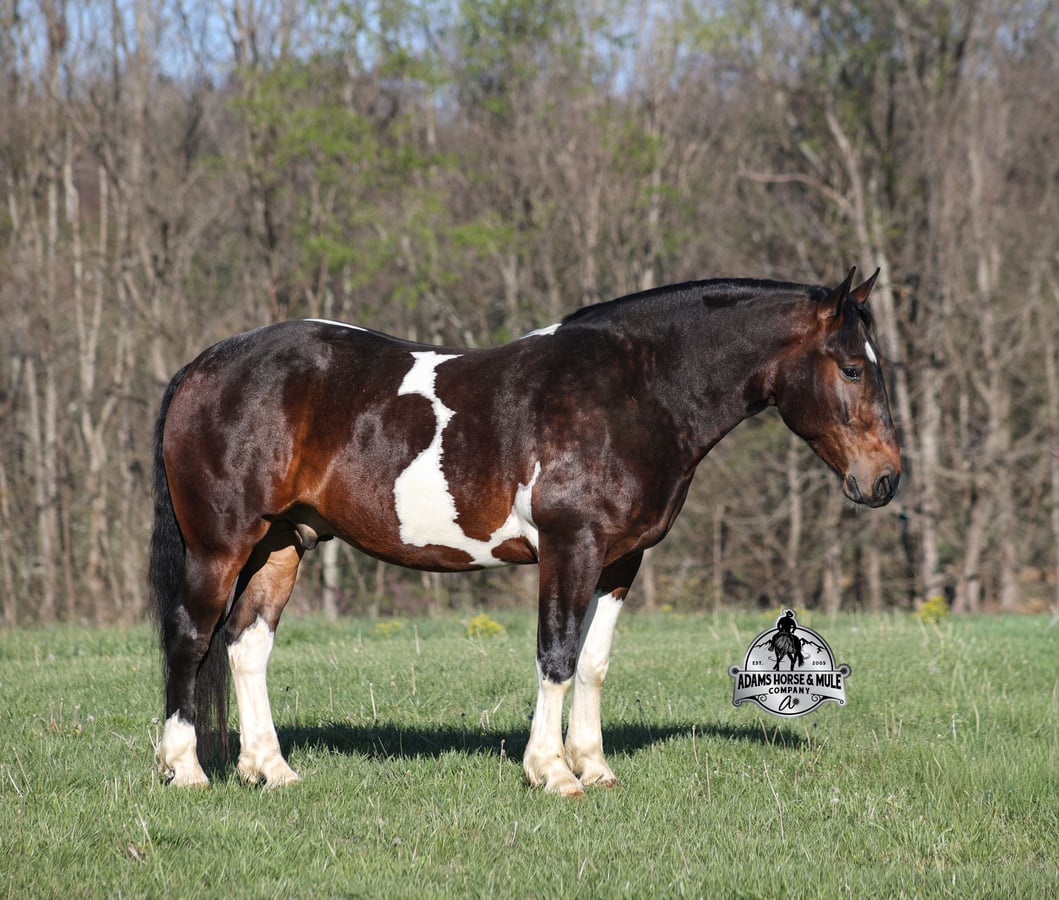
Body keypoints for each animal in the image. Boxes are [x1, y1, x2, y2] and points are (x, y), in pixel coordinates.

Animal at [150, 267, 900, 797]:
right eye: (852, 367)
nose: (886, 479)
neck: (632, 392)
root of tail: (205, 365)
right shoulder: (571, 547)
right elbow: (556, 656)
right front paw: (553, 773)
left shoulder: (621, 561)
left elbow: (593, 663)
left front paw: (594, 767)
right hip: (221, 545)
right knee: (190, 638)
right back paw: (185, 770)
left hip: (284, 542)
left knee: (247, 645)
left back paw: (270, 770)